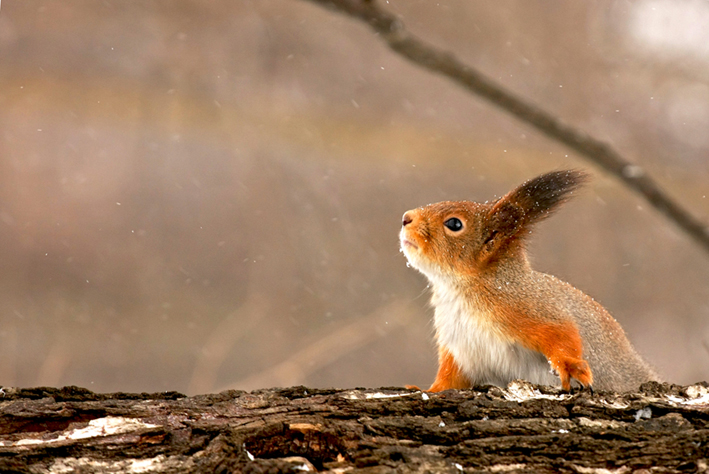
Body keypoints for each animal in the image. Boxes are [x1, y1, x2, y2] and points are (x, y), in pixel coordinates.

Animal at [402, 170, 660, 392]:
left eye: (454, 224)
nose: (406, 218)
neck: (458, 289)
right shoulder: (459, 351)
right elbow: (450, 380)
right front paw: (425, 389)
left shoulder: (529, 307)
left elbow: (563, 335)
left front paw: (570, 366)